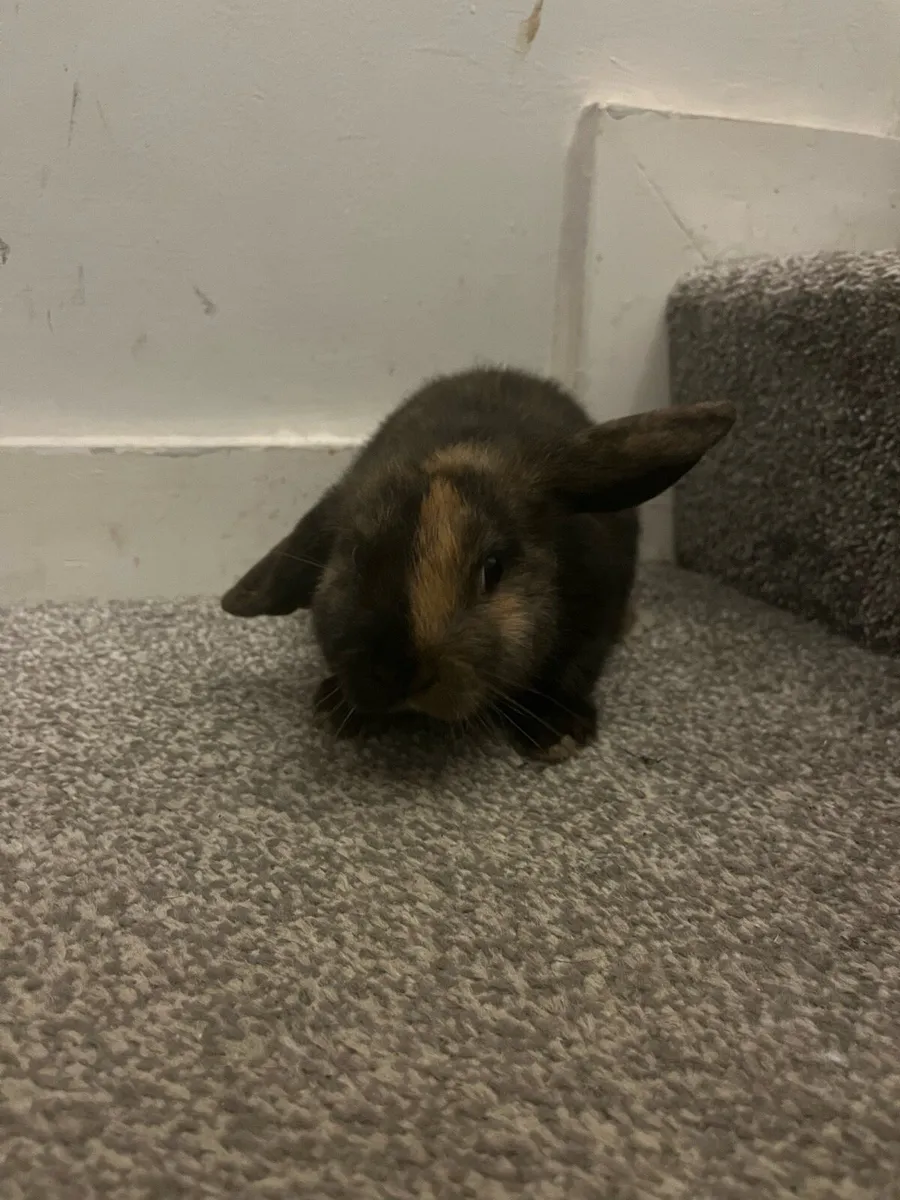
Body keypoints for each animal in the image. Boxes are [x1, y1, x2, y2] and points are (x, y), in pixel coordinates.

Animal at [221, 367, 734, 761]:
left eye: (494, 568)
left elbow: (574, 668)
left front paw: (558, 734)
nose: (399, 673)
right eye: (355, 559)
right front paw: (337, 710)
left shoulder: (596, 609)